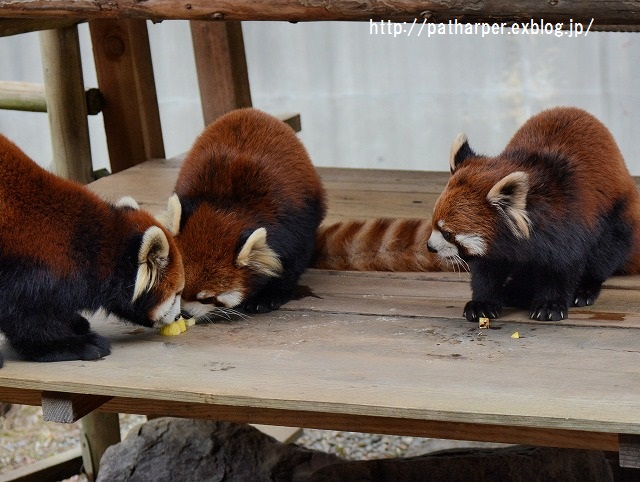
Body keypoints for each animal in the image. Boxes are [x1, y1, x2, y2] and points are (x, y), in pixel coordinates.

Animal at [0, 132, 185, 366]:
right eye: (177, 293)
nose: (179, 317)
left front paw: (74, 322)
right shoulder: (31, 268)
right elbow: (25, 316)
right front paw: (70, 344)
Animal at [158, 109, 328, 320]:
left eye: (208, 298)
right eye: (180, 288)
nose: (187, 313)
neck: (224, 207)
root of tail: (250, 111)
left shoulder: (294, 223)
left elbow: (293, 260)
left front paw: (269, 296)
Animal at [424, 107, 640, 322]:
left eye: (447, 233)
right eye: (434, 224)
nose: (430, 246)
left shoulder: (568, 223)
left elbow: (561, 267)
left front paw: (549, 305)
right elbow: (487, 271)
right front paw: (482, 303)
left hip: (617, 216)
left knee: (606, 251)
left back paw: (585, 288)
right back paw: (516, 290)